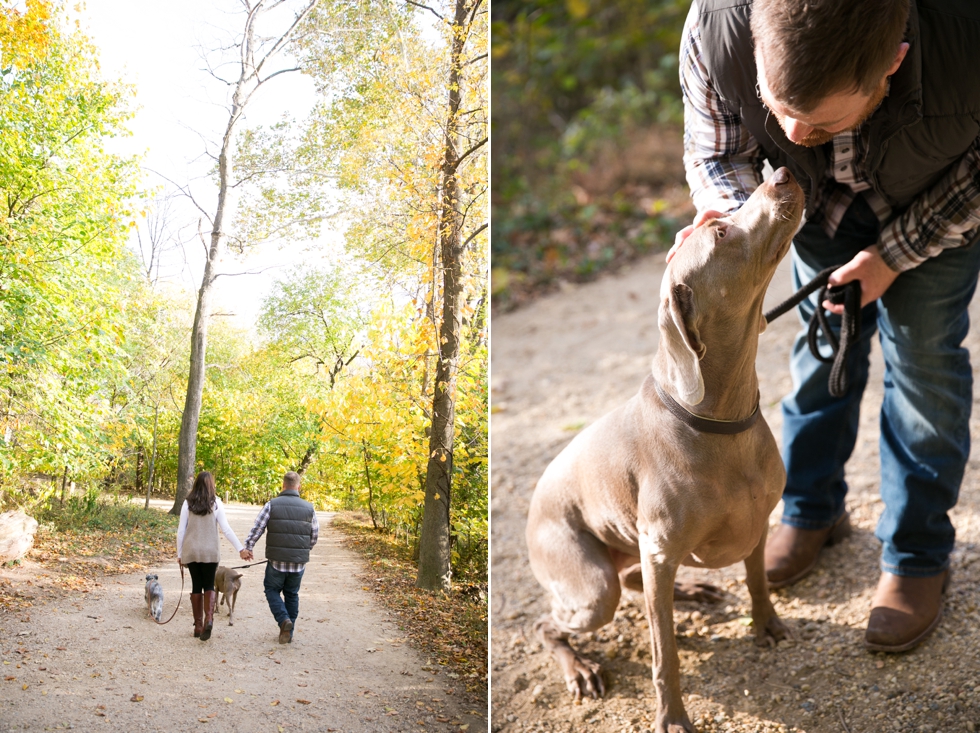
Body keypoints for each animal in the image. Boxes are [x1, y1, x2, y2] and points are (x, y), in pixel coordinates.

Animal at [528, 167, 804, 732]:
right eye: (720, 231)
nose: (783, 172)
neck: (721, 423)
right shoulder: (658, 549)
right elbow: (665, 654)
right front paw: (673, 716)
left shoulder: (758, 523)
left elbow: (758, 580)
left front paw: (766, 625)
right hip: (592, 588)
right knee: (550, 624)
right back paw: (580, 668)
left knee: (634, 581)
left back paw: (693, 592)